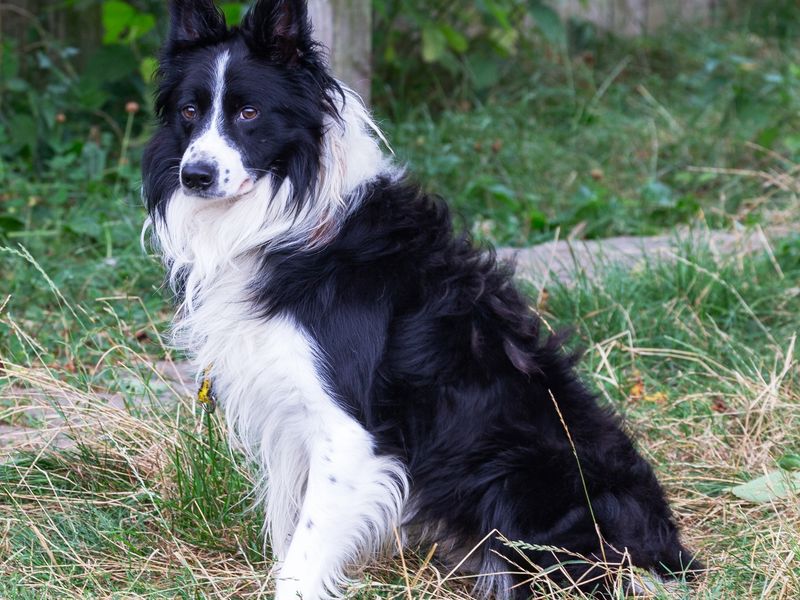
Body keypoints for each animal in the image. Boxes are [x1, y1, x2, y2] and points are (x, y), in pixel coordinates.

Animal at [144, 2, 700, 596]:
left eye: (248, 112)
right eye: (189, 111)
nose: (195, 175)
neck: (287, 225)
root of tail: (668, 551)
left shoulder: (348, 433)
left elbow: (303, 557)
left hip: (514, 480)